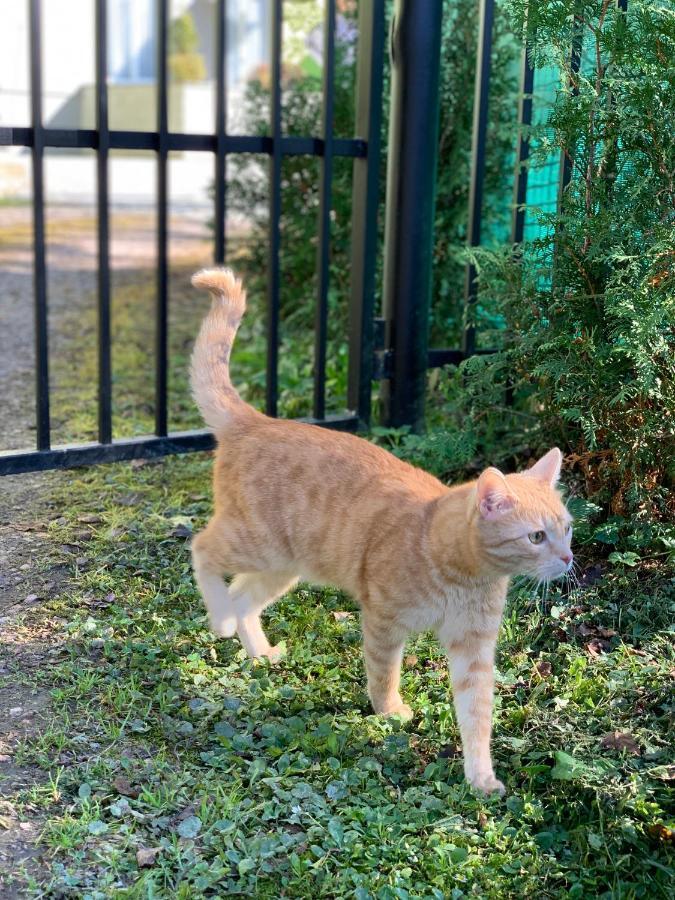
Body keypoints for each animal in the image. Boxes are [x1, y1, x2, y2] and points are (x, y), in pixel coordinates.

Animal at [190, 268, 576, 796]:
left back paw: (259, 650)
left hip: (280, 566)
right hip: (254, 543)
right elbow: (383, 673)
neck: (455, 568)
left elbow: (476, 715)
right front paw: (389, 711)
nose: (568, 559)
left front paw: (480, 777)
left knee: (243, 596)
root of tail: (257, 421)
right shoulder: (384, 622)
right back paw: (221, 620)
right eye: (537, 537)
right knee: (202, 552)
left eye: (567, 530)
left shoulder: (473, 648)